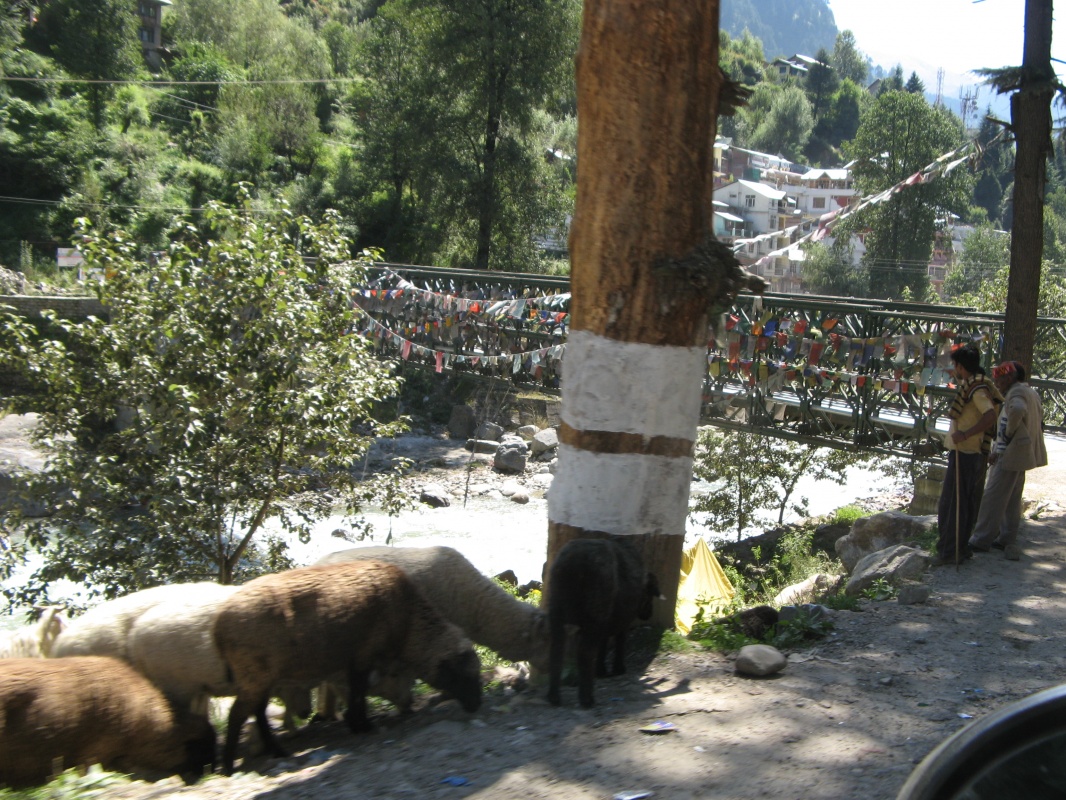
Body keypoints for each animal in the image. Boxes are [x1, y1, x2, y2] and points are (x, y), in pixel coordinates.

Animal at [213, 559, 482, 775]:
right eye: (462, 675)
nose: (476, 706)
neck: (409, 622)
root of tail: (219, 626)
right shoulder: (364, 656)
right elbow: (358, 691)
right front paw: (362, 724)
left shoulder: (356, 661)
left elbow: (356, 691)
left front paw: (356, 723)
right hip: (254, 674)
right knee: (237, 714)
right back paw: (227, 765)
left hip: (261, 677)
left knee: (256, 712)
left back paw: (276, 751)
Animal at [546, 537, 661, 708]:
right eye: (649, 595)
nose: (648, 614)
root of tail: (574, 562)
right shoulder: (622, 620)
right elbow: (619, 641)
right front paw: (618, 668)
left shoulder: (606, 621)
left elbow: (603, 644)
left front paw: (601, 670)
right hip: (595, 610)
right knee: (585, 652)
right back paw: (587, 699)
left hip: (557, 608)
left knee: (556, 650)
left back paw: (554, 696)